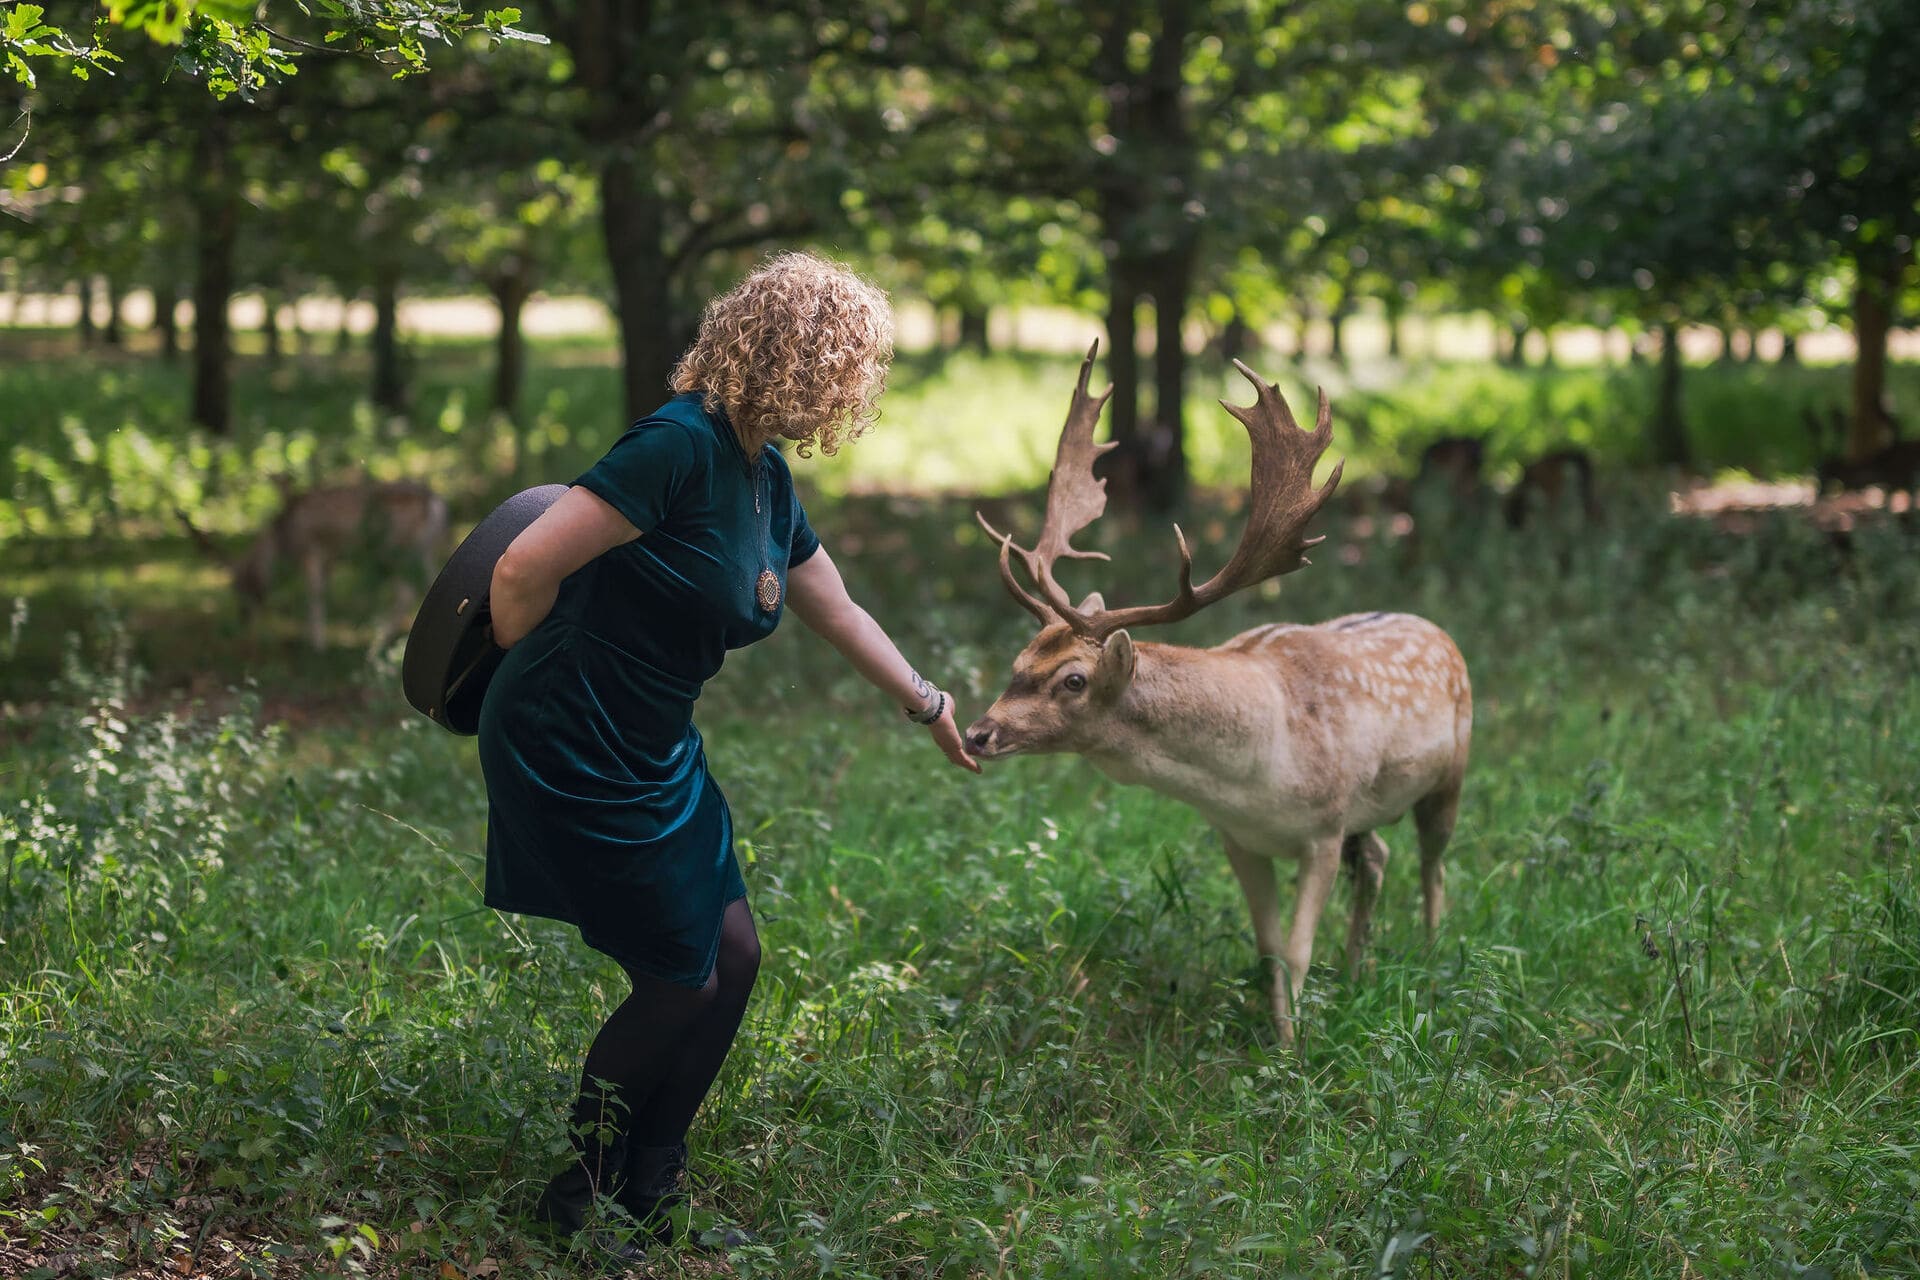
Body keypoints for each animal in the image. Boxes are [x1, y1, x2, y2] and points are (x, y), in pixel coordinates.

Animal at [177, 479, 448, 651]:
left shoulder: (312, 551)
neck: (283, 541)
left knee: (405, 593)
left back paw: (377, 644)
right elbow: (322, 591)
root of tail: (436, 504)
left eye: (239, 584)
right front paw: (313, 639)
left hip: (397, 551)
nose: (243, 618)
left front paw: (316, 645)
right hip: (423, 553)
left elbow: (314, 593)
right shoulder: (329, 559)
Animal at [965, 345, 1472, 1047]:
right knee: (1377, 856)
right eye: (1018, 662)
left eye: (1074, 679)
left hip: (1451, 773)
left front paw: (1294, 1054)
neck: (1256, 773)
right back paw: (1357, 969)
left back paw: (1430, 958)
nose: (977, 732)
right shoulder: (1240, 839)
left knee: (1434, 863)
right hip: (1368, 812)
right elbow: (1268, 950)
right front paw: (1280, 1038)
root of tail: (1438, 630)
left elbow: (1295, 950)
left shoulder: (1323, 826)